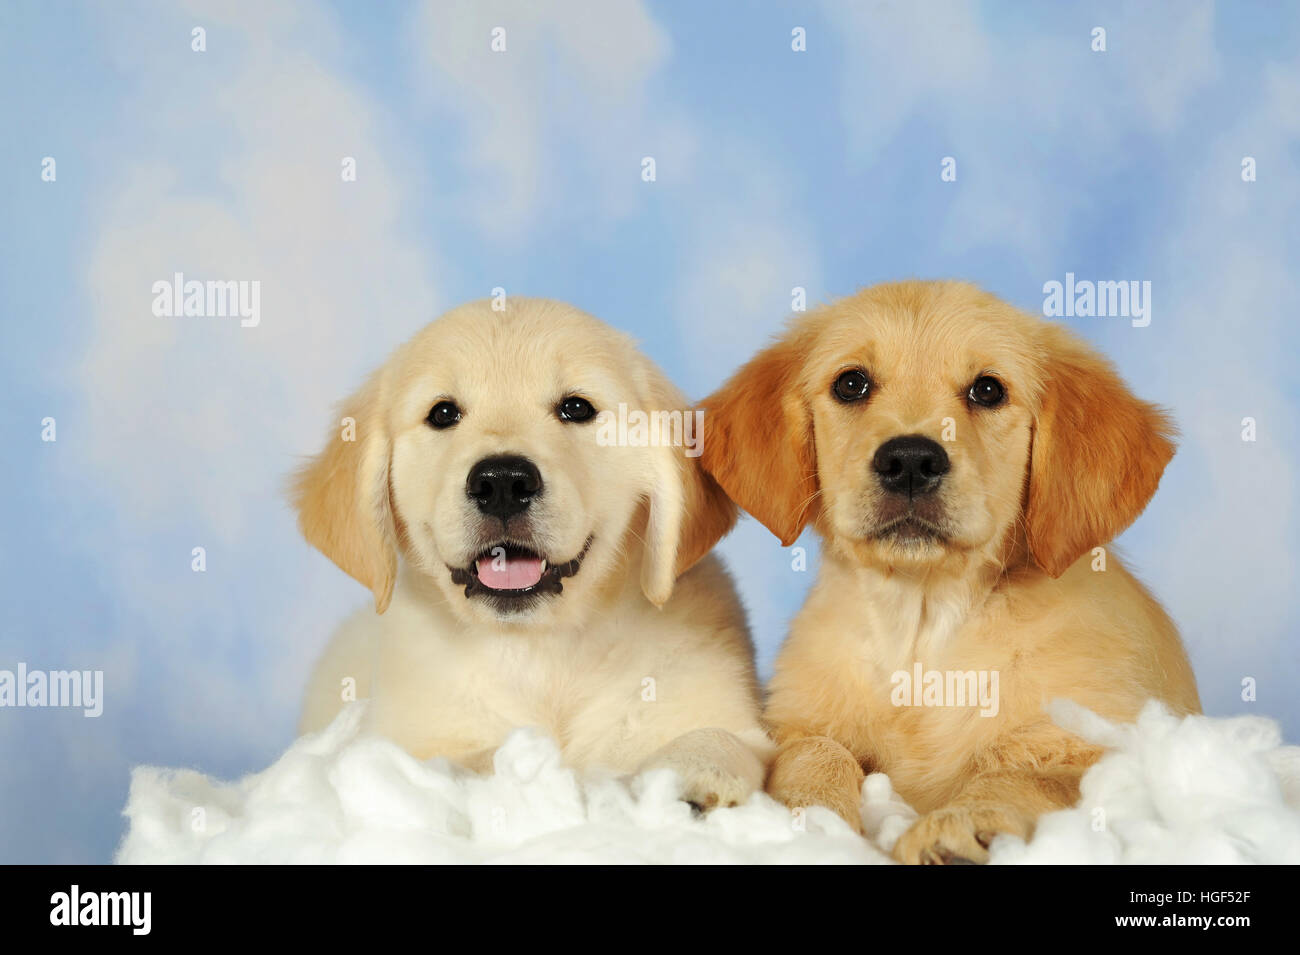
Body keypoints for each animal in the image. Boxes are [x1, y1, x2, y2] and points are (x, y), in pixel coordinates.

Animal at [292, 297, 769, 805]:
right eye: (442, 414)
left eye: (576, 408)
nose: (502, 483)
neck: (542, 650)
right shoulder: (409, 738)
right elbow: (469, 761)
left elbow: (723, 737)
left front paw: (692, 772)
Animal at [702, 280, 1196, 862]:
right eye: (851, 384)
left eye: (988, 390)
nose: (910, 462)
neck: (923, 624)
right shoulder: (796, 721)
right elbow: (815, 751)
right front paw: (809, 821)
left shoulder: (1094, 745)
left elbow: (1025, 775)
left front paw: (962, 823)